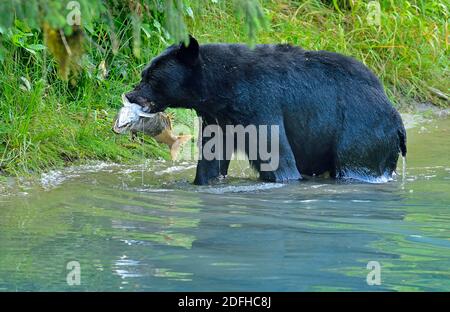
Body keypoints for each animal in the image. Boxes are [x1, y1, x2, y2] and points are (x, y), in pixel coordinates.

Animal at [125, 35, 406, 184]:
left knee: (356, 165)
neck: (221, 89)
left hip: (360, 132)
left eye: (151, 78)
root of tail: (396, 118)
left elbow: (278, 157)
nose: (130, 94)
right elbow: (211, 157)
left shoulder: (260, 106)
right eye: (144, 72)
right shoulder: (219, 118)